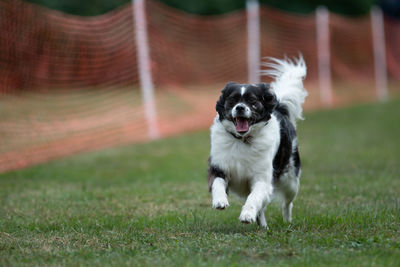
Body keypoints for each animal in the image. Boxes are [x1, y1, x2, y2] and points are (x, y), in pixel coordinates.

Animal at [208, 57, 308, 229]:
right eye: (232, 100)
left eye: (252, 101)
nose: (240, 108)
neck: (242, 140)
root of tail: (279, 108)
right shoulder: (219, 167)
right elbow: (218, 184)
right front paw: (220, 201)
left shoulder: (262, 179)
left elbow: (254, 197)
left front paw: (247, 215)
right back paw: (263, 226)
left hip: (291, 182)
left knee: (287, 203)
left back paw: (287, 220)